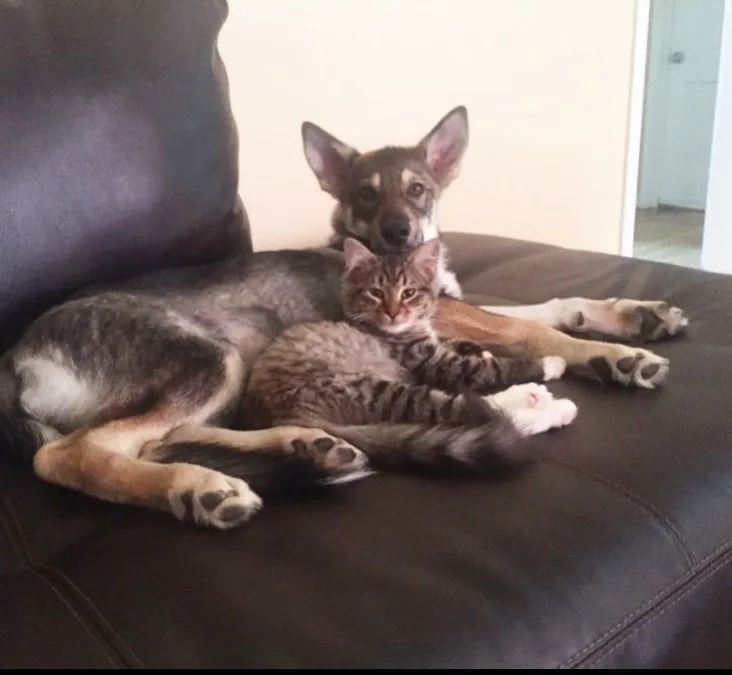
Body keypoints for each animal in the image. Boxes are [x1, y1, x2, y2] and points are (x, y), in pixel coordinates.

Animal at [244, 238, 576, 476]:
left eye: (409, 292)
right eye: (376, 292)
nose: (393, 312)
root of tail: (288, 419)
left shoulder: (436, 342)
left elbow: (460, 343)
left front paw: (475, 347)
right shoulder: (431, 362)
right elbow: (493, 368)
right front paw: (550, 363)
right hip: (375, 389)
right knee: (473, 411)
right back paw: (547, 404)